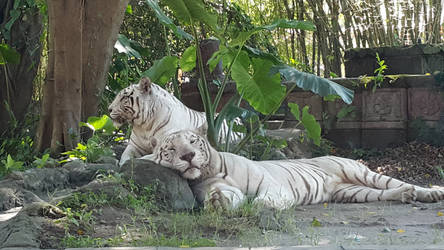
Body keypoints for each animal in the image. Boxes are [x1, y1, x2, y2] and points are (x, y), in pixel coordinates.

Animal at [143, 128, 444, 210]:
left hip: (362, 173)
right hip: (353, 192)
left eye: (193, 141)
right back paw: (405, 196)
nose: (189, 155)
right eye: (171, 149)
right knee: (384, 193)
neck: (209, 171)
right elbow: (227, 196)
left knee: (396, 182)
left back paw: (430, 193)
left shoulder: (271, 185)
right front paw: (217, 202)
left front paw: (260, 206)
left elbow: (266, 198)